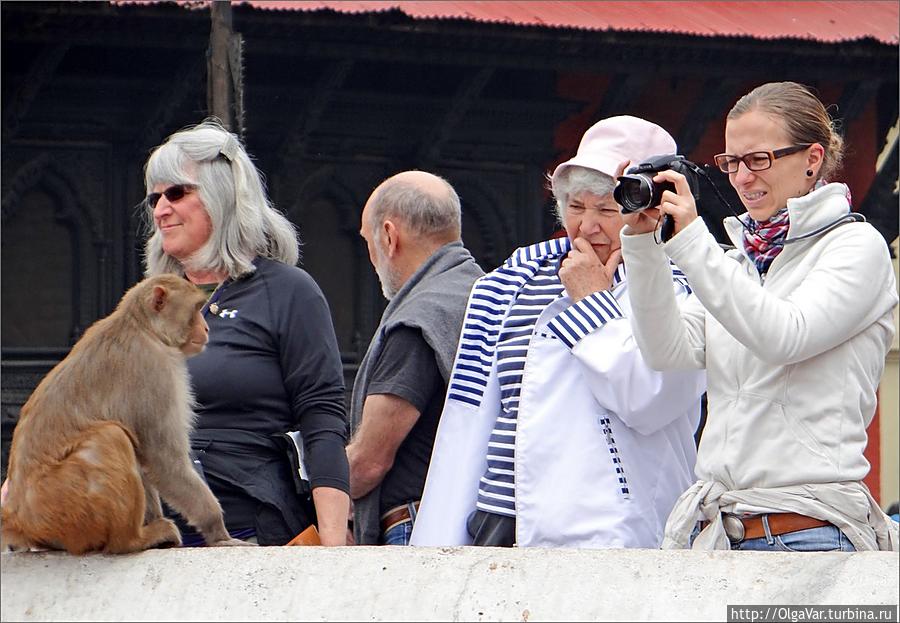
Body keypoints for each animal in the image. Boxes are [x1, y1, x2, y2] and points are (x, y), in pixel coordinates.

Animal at [3, 276, 251, 552]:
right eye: (196, 309)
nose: (206, 329)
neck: (144, 328)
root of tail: (20, 519)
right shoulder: (156, 370)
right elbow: (163, 459)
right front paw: (218, 532)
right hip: (62, 505)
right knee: (111, 436)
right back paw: (132, 539)